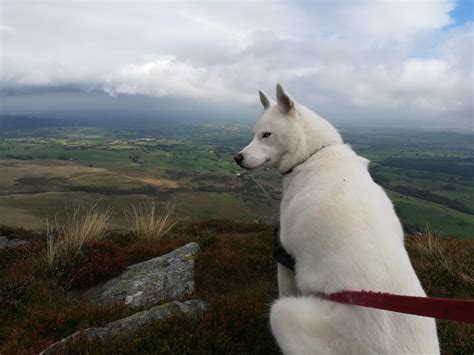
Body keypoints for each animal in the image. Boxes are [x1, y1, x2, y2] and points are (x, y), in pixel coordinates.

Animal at [235, 84, 438, 355]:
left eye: (266, 135)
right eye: (254, 134)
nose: (237, 157)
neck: (312, 154)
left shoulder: (285, 255)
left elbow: (284, 286)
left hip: (282, 314)